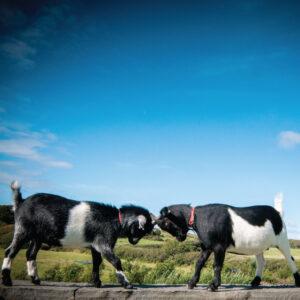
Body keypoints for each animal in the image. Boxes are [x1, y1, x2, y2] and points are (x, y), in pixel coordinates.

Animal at [2, 180, 155, 288]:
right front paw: (126, 283)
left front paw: (97, 283)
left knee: (30, 254)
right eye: (142, 229)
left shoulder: (94, 246)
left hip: (37, 237)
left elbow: (97, 262)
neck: (115, 219)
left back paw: (36, 279)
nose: (134, 242)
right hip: (23, 229)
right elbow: (115, 260)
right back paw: (7, 280)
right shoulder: (102, 242)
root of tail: (20, 202)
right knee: (10, 251)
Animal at [154, 197, 300, 290]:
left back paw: (297, 281)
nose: (180, 238)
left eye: (166, 223)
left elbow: (217, 265)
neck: (199, 218)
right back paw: (255, 282)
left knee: (290, 259)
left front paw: (213, 286)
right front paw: (191, 283)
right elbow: (199, 263)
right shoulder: (206, 246)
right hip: (259, 246)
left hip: (282, 239)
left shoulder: (219, 246)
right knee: (261, 262)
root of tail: (277, 213)